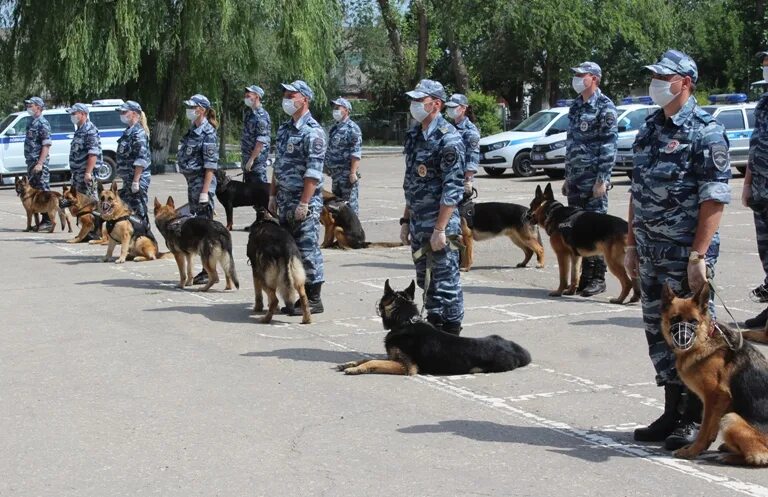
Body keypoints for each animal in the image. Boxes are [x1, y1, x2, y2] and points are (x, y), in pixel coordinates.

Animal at [338, 280, 536, 376]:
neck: (406, 322)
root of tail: (518, 350)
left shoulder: (406, 367)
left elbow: (374, 362)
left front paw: (356, 369)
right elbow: (368, 358)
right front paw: (352, 364)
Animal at [656, 282, 768, 464]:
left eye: (694, 322)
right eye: (674, 319)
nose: (683, 339)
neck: (704, 340)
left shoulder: (715, 396)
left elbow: (704, 429)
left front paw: (692, 451)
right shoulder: (716, 403)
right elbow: (710, 429)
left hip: (731, 419)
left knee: (759, 456)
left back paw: (728, 456)